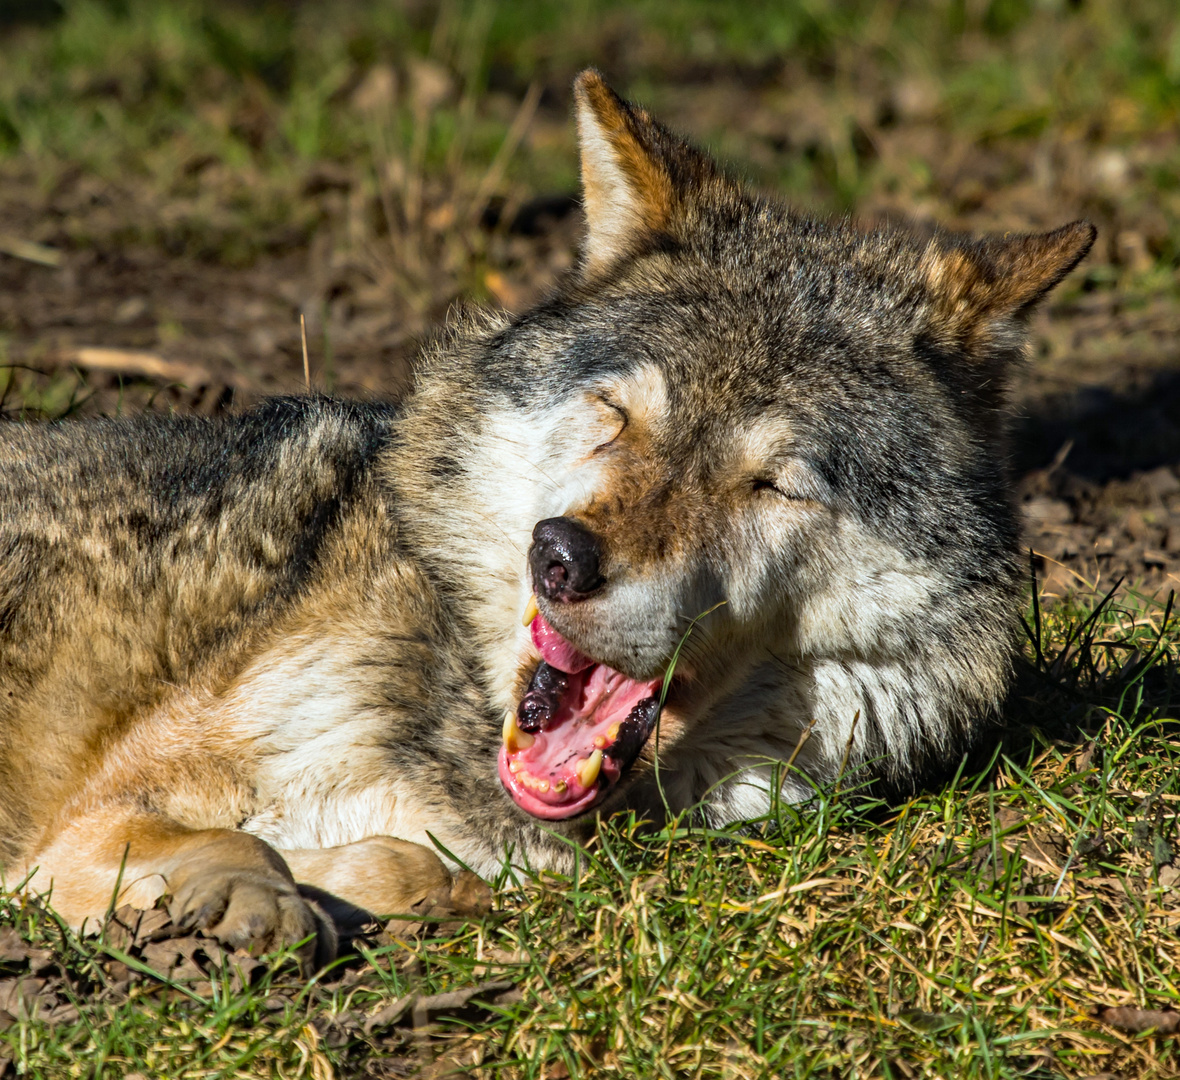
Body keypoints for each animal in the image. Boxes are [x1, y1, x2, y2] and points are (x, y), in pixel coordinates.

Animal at [0, 71, 1095, 967]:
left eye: (773, 485)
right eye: (617, 415)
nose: (559, 555)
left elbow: (418, 867)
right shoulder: (90, 818)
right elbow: (245, 836)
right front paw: (252, 899)